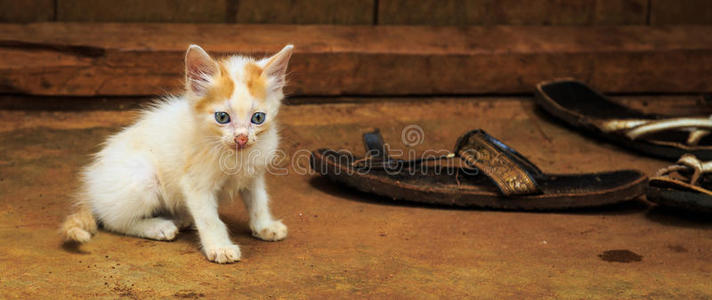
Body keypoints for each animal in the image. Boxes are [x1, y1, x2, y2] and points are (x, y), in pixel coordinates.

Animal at [59, 44, 294, 262]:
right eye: (222, 117)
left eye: (258, 118)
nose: (242, 139)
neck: (236, 155)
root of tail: (91, 187)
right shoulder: (195, 183)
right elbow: (209, 218)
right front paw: (220, 247)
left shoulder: (253, 175)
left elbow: (259, 201)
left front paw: (265, 226)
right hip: (143, 177)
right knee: (114, 221)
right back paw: (158, 227)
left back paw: (179, 217)